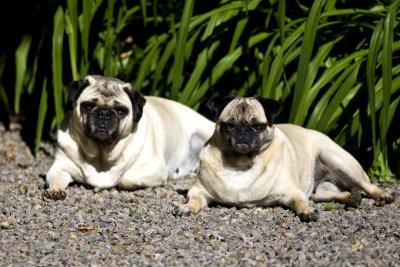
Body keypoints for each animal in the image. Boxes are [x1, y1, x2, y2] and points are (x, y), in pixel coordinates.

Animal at [43, 74, 216, 200]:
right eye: (88, 106)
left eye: (121, 110)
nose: (104, 113)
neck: (101, 153)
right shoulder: (60, 166)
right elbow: (55, 178)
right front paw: (55, 190)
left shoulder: (155, 168)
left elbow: (124, 178)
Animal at [177, 96, 396, 222]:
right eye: (229, 125)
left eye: (258, 126)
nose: (243, 131)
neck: (241, 163)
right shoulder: (199, 190)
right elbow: (195, 199)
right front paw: (187, 207)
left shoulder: (292, 191)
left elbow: (300, 201)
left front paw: (306, 211)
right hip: (321, 189)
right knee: (334, 193)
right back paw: (351, 197)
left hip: (337, 160)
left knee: (367, 185)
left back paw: (382, 195)